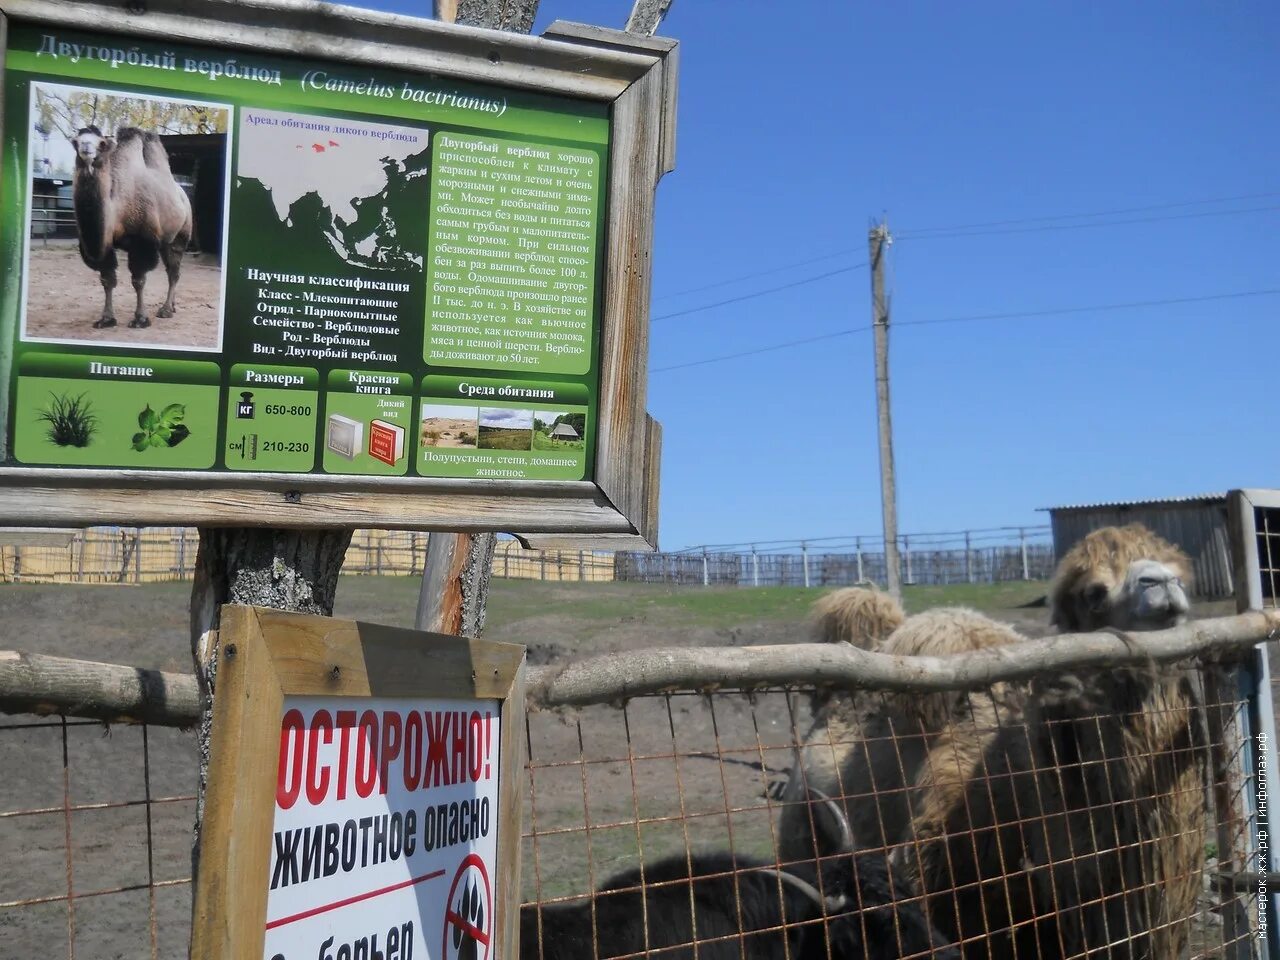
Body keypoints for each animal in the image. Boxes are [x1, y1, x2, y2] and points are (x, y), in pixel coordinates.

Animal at [70, 128, 192, 330]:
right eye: (76, 142)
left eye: (102, 143)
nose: (86, 149)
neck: (117, 210)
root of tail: (184, 195)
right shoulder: (106, 246)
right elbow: (107, 280)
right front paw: (106, 319)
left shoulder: (142, 241)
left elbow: (138, 281)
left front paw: (140, 319)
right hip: (164, 241)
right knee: (171, 270)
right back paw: (172, 306)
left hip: (180, 236)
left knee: (174, 273)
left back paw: (166, 310)